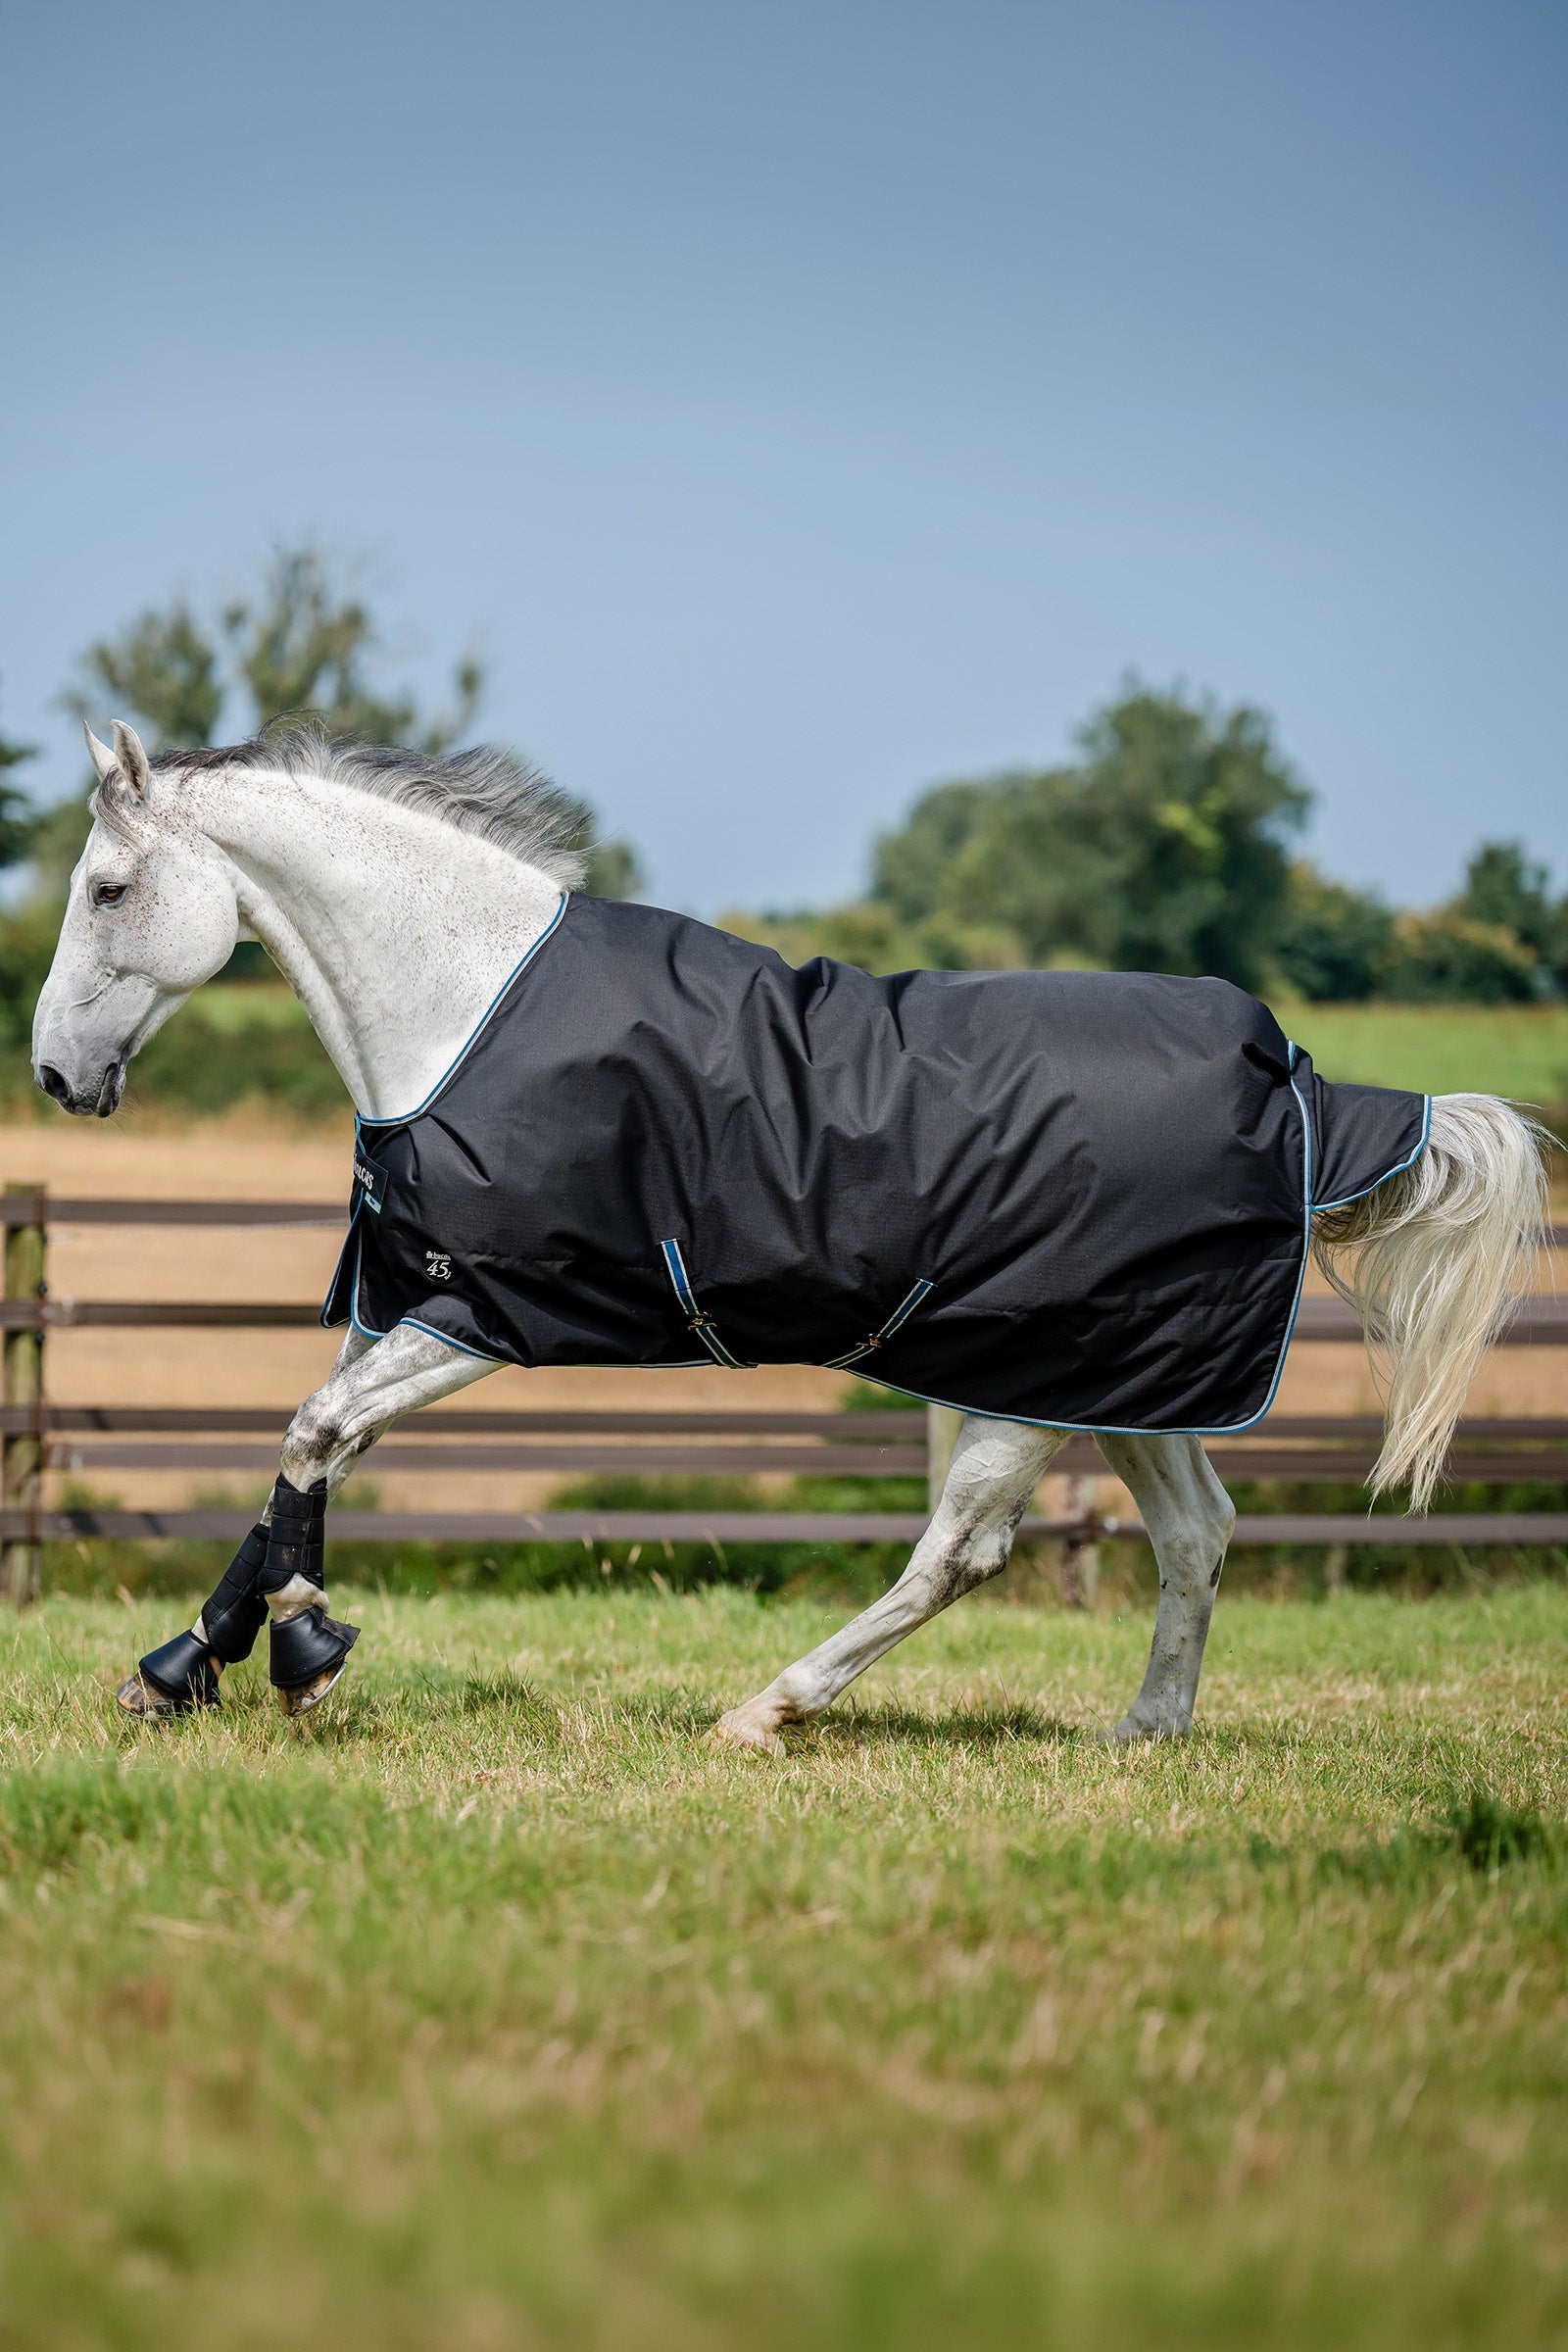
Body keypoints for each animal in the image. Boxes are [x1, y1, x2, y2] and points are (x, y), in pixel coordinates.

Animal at [32, 719, 1548, 1748]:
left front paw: (303, 1653)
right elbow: (296, 1460)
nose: (54, 1074)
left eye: (107, 889)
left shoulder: (488, 1315)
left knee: (962, 1554)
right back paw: (1144, 1732)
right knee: (1198, 1534)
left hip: (1029, 1383)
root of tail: (1289, 1073)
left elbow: (312, 1440)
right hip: (1126, 1376)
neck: (466, 1006)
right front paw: (178, 1668)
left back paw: (766, 1709)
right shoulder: (407, 1299)